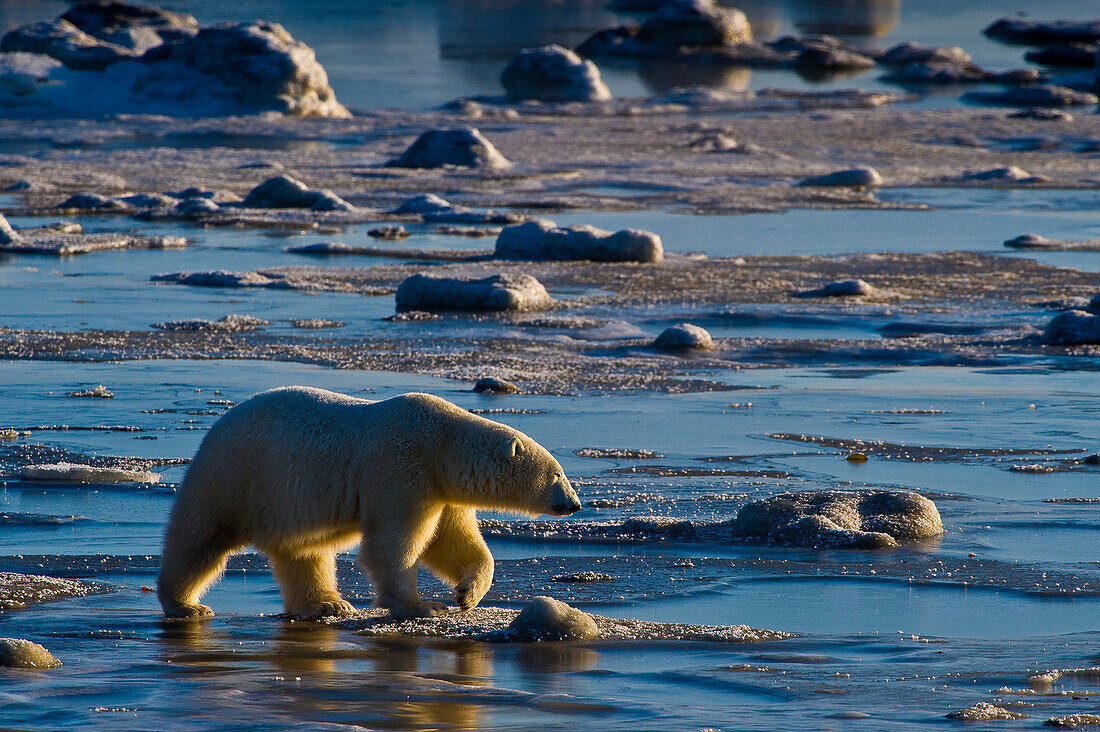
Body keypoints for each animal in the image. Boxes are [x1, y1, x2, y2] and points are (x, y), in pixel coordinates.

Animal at [160, 385, 585, 620]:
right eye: (558, 474)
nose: (575, 504)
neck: (442, 442)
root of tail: (217, 427)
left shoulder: (439, 489)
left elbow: (454, 541)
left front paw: (467, 593)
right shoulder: (400, 466)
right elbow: (395, 542)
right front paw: (422, 606)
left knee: (303, 552)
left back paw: (328, 605)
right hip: (235, 476)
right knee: (198, 541)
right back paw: (186, 604)